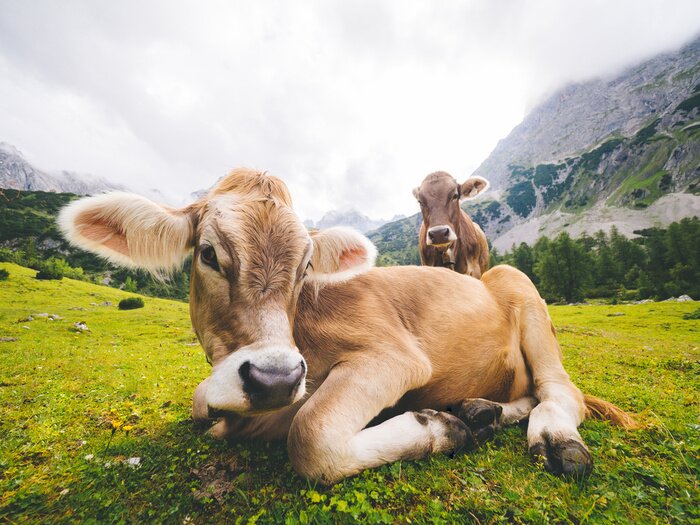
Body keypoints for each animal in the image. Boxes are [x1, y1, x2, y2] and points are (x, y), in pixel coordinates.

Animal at [58, 168, 634, 485]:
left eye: (306, 267)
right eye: (207, 254)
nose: (274, 378)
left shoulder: (393, 356)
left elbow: (311, 436)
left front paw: (435, 428)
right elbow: (204, 403)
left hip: (521, 289)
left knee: (561, 392)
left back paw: (550, 437)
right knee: (527, 394)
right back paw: (481, 410)